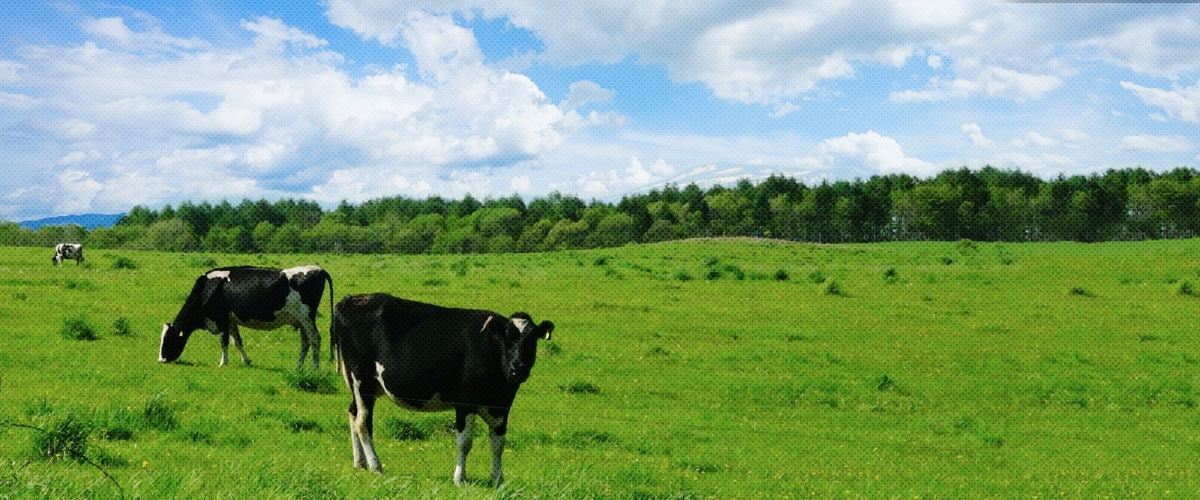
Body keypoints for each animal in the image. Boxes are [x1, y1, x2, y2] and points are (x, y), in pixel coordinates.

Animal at [157, 267, 333, 369]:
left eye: (169, 339)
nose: (160, 360)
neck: (207, 289)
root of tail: (317, 269)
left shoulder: (221, 319)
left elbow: (224, 342)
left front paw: (223, 363)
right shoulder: (230, 321)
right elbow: (237, 341)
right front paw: (246, 361)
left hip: (306, 317)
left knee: (315, 339)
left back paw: (315, 367)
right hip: (301, 320)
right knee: (306, 341)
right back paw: (298, 366)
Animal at [328, 292, 552, 486]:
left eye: (531, 340)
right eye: (507, 339)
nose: (517, 368)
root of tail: (348, 300)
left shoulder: (502, 406)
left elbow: (498, 444)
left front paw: (498, 479)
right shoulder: (465, 402)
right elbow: (465, 442)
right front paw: (460, 479)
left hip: (360, 385)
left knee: (353, 413)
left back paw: (360, 463)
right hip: (362, 380)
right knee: (363, 422)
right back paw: (376, 467)